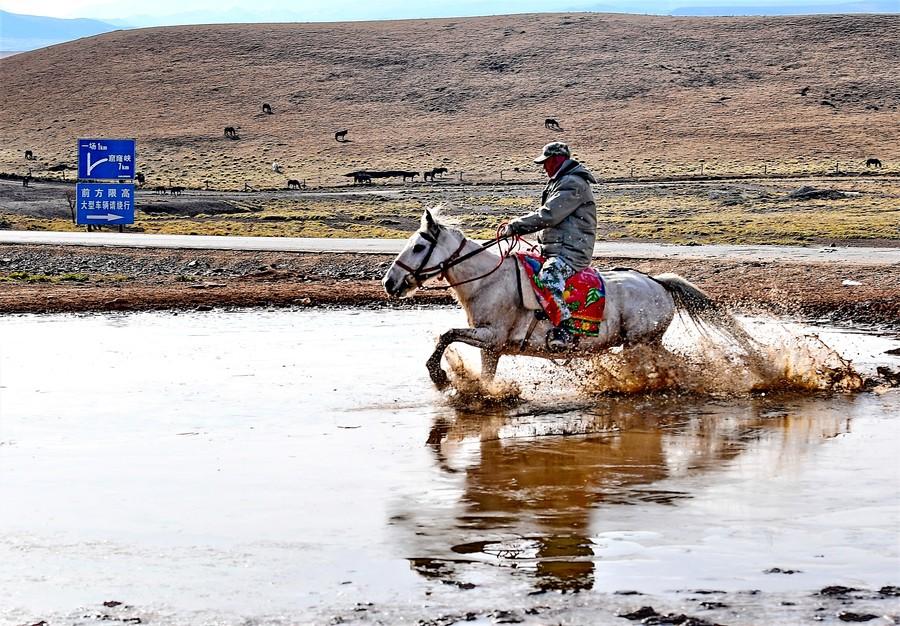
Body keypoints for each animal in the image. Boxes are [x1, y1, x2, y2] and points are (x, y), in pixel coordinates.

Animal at [384, 210, 740, 386]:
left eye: (418, 246)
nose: (390, 282)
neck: (487, 279)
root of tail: (657, 282)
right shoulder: (492, 347)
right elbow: (483, 373)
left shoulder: (491, 335)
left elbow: (446, 335)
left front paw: (437, 374)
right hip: (645, 343)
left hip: (640, 343)